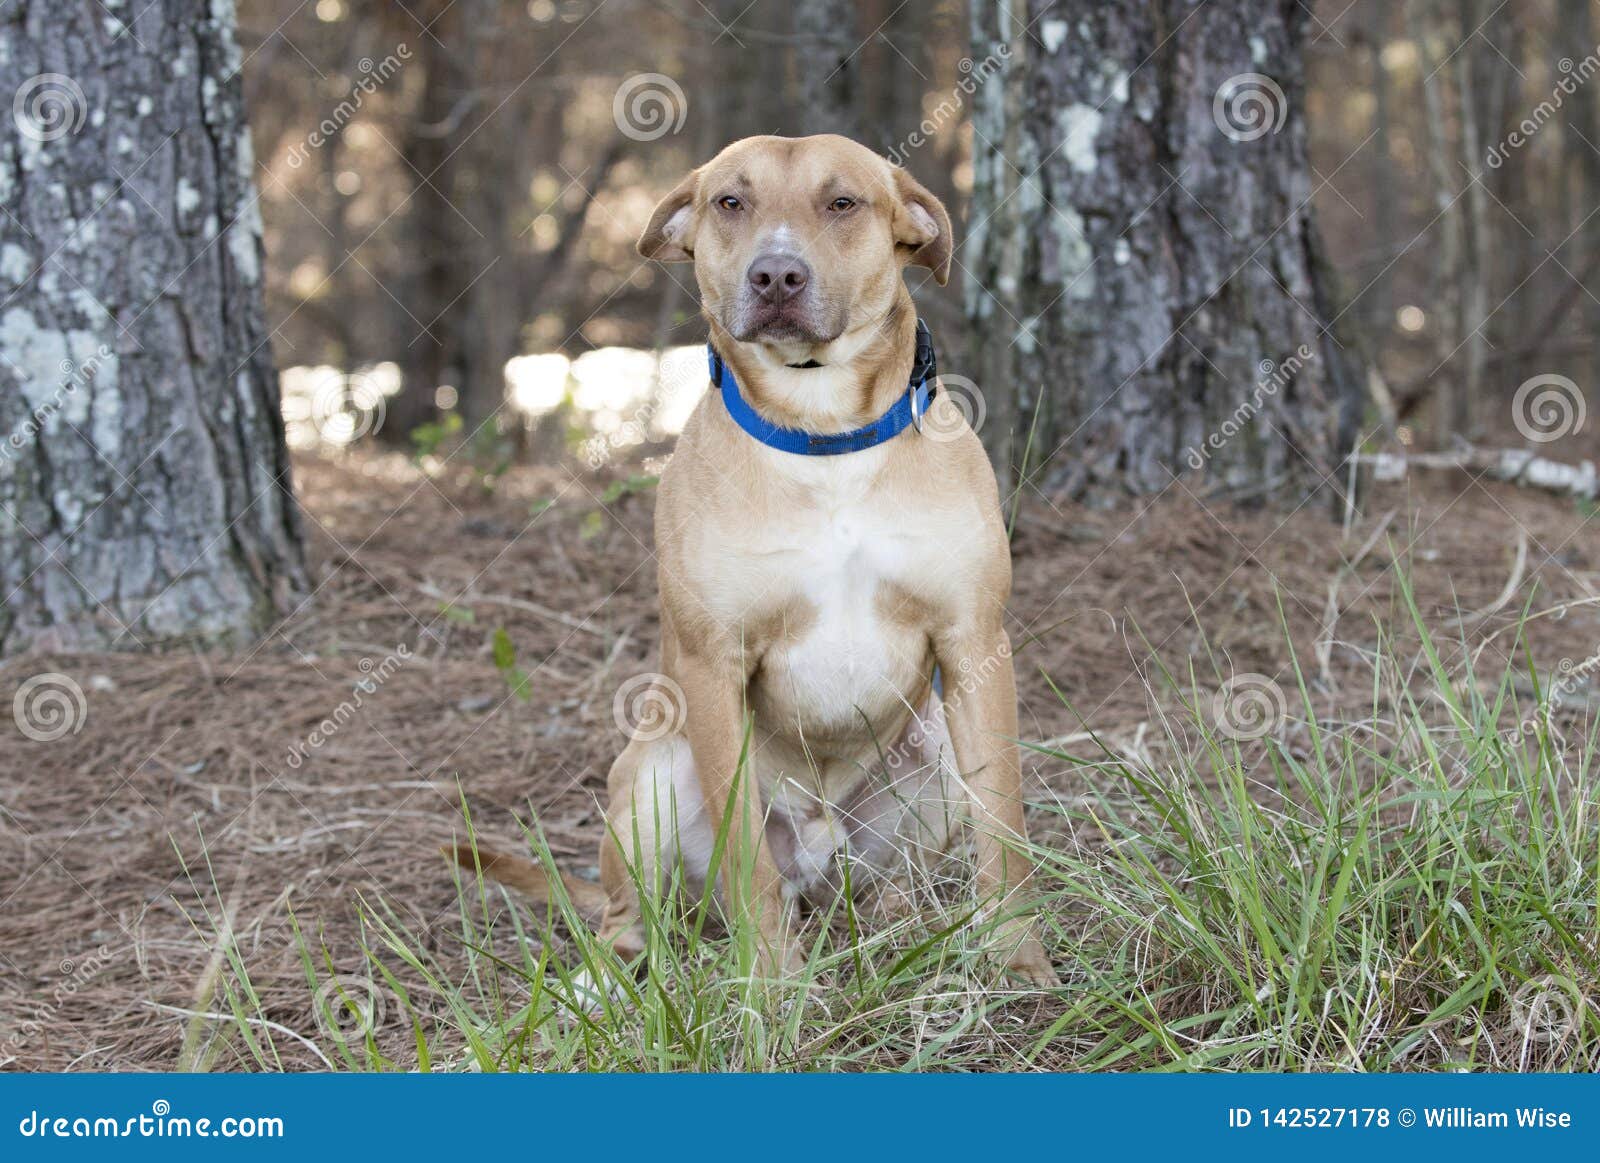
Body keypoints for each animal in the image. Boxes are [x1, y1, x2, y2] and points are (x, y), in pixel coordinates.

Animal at [464, 138, 1062, 991]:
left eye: (842, 203)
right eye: (730, 203)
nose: (776, 275)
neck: (824, 435)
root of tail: (816, 850)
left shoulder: (975, 640)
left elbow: (1004, 824)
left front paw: (1017, 958)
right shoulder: (713, 665)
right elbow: (748, 862)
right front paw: (773, 990)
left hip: (933, 758)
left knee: (882, 887)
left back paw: (904, 927)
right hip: (649, 774)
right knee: (639, 916)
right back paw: (600, 981)